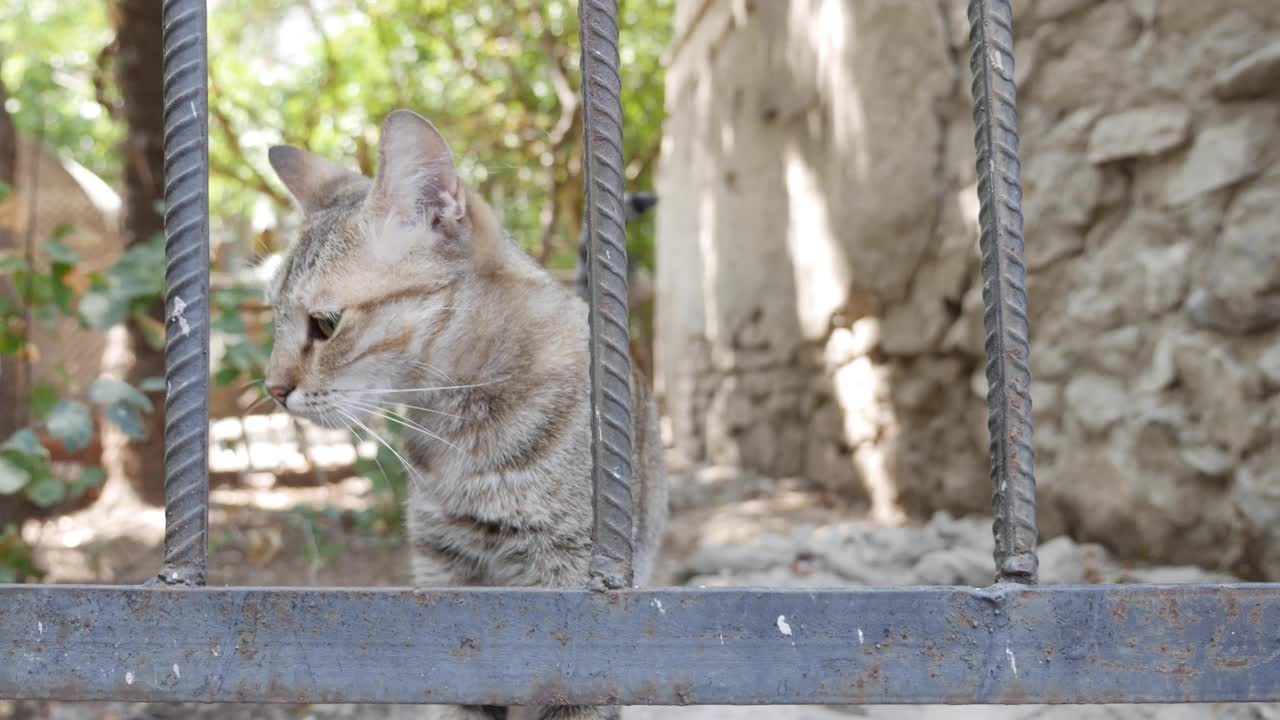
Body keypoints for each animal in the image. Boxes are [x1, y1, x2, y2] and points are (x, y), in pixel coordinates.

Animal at [266, 107, 675, 717]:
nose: (271, 388)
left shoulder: (576, 595)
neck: (457, 434)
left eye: (325, 324)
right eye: (273, 317)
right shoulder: (448, 583)